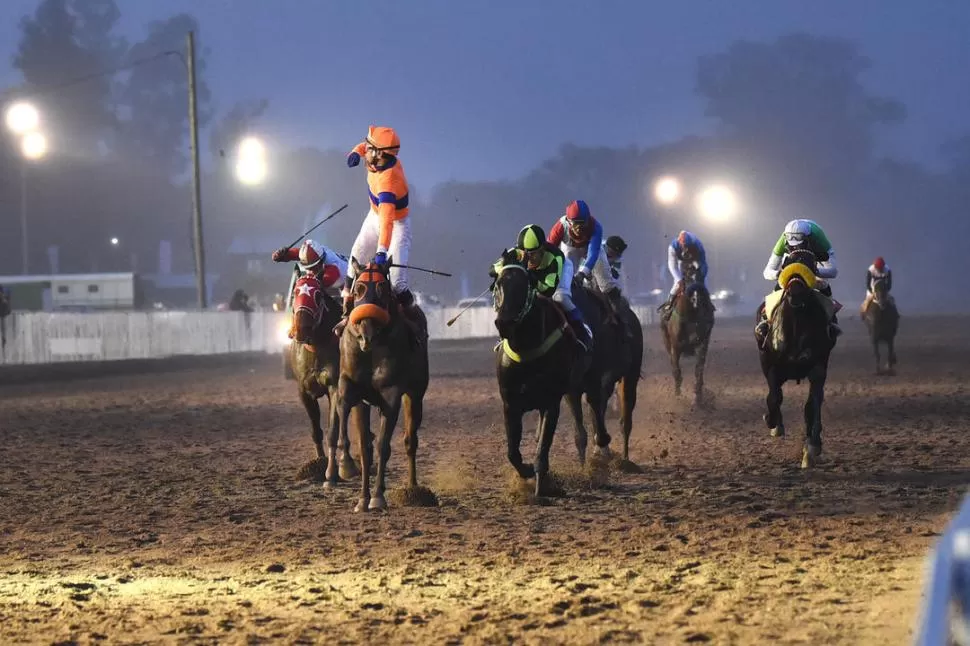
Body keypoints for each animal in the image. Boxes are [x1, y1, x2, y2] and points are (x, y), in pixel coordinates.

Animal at [290, 274, 362, 486]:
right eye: (296, 292)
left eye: (318, 294)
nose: (302, 328)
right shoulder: (304, 391)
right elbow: (316, 430)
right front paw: (318, 465)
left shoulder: (335, 388)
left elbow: (333, 430)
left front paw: (331, 474)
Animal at [338, 256, 432, 512]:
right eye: (358, 289)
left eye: (381, 288)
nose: (366, 333)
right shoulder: (355, 390)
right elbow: (363, 445)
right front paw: (359, 493)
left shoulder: (391, 394)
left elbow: (383, 446)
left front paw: (377, 497)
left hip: (416, 394)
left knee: (410, 440)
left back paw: (412, 488)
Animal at [656, 262, 712, 404]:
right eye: (687, 281)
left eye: (700, 279)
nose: (697, 299)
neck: (691, 317)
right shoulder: (675, 347)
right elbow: (676, 371)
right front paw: (678, 396)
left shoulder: (701, 345)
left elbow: (699, 370)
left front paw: (698, 397)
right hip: (667, 342)